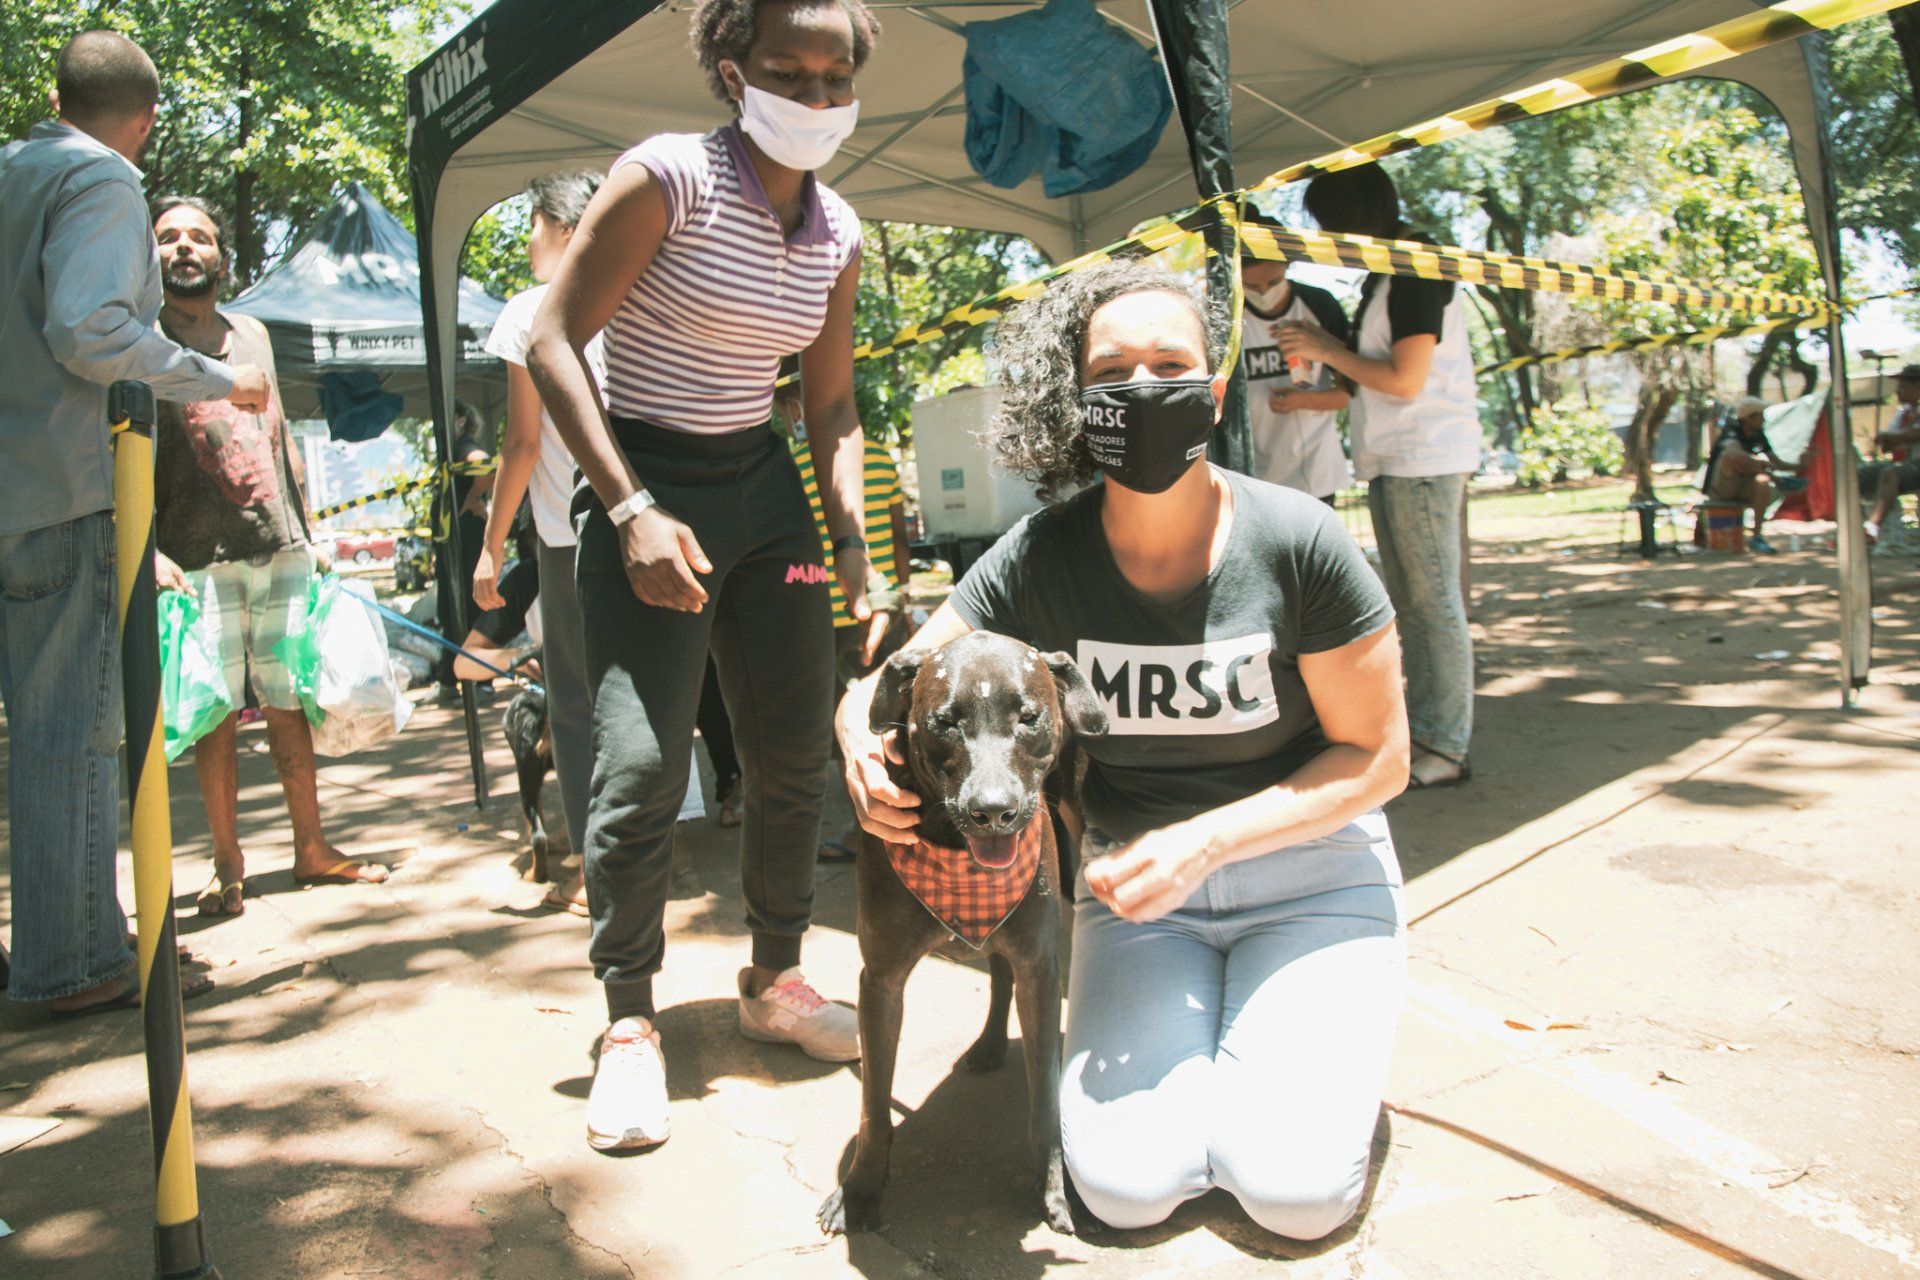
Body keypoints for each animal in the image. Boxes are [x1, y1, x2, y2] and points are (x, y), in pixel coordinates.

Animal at [818, 632, 1107, 1236]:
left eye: (1028, 717)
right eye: (944, 722)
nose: (993, 813)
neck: (955, 855)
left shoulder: (1040, 968)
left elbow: (1045, 1098)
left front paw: (1057, 1187)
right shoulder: (879, 980)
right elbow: (873, 1104)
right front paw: (859, 1190)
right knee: (996, 971)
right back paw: (990, 1044)